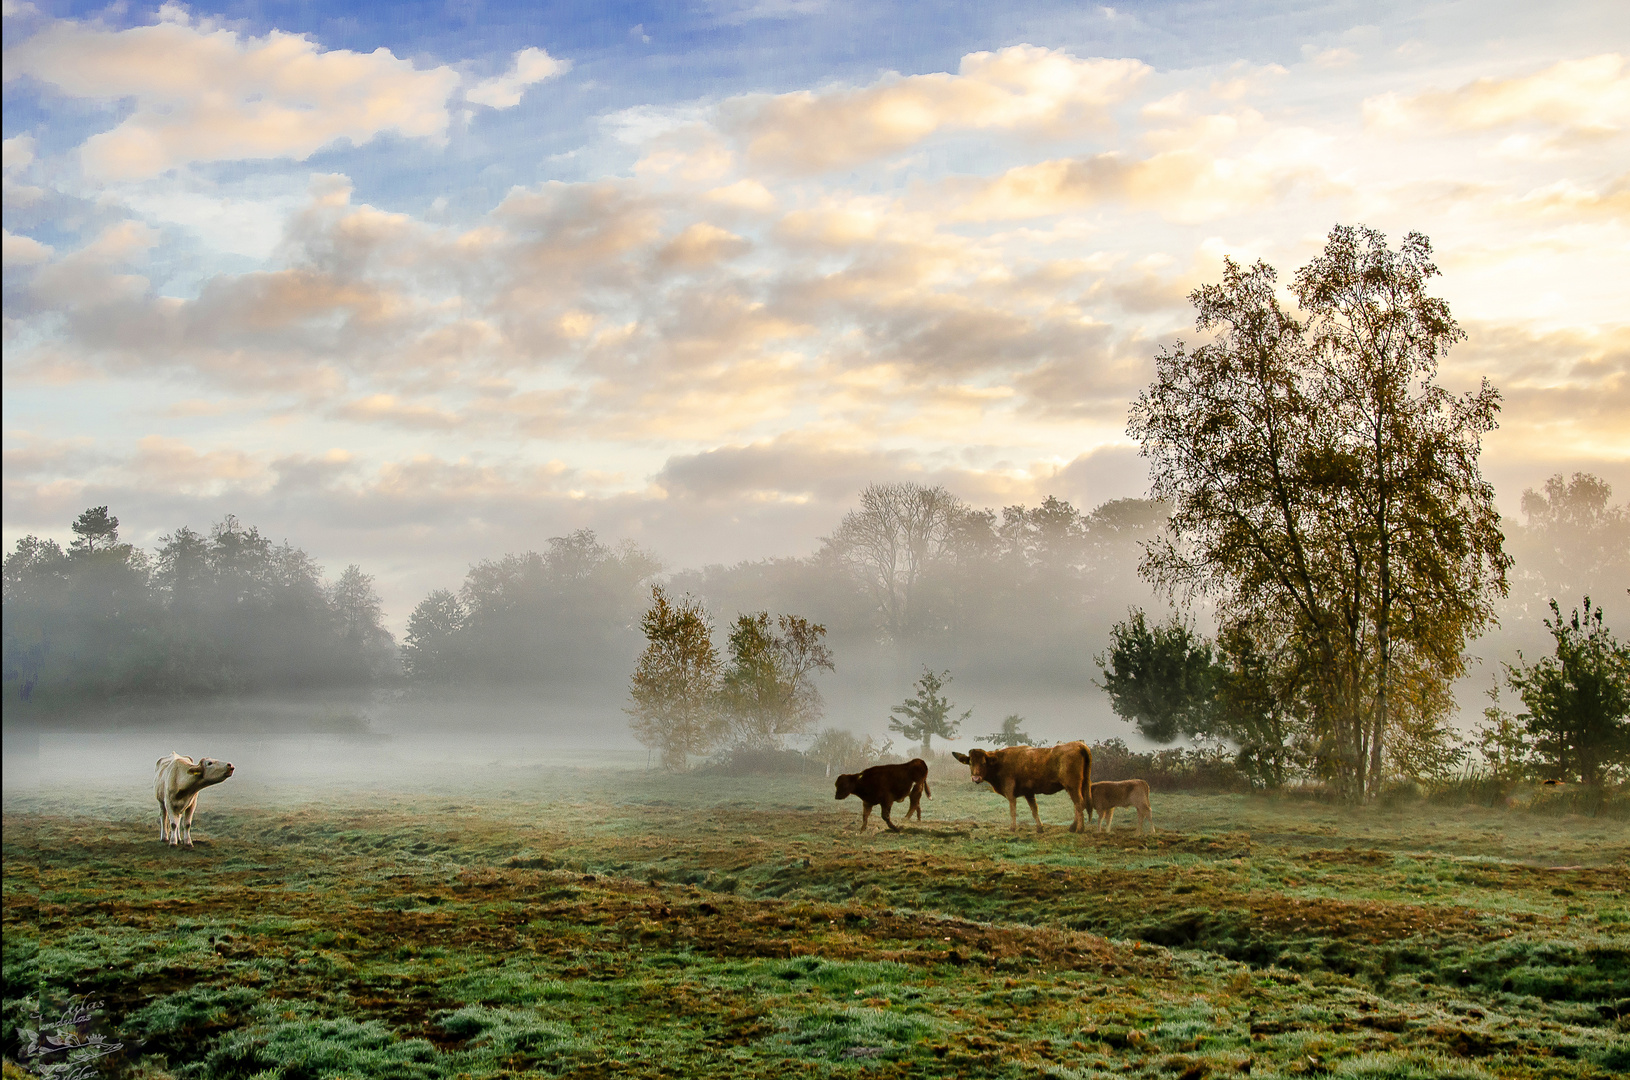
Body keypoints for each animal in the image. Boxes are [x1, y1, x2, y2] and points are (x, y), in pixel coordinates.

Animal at [951, 742, 1088, 834]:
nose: (975, 778)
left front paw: (1012, 828)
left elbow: (1013, 811)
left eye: (984, 763)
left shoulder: (1010, 793)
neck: (999, 763)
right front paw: (1040, 828)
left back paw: (1079, 829)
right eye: (970, 763)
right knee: (1078, 805)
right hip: (1078, 786)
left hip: (1072, 786)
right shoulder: (1029, 792)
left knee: (1079, 804)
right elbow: (1034, 810)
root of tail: (1077, 744)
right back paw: (1073, 827)